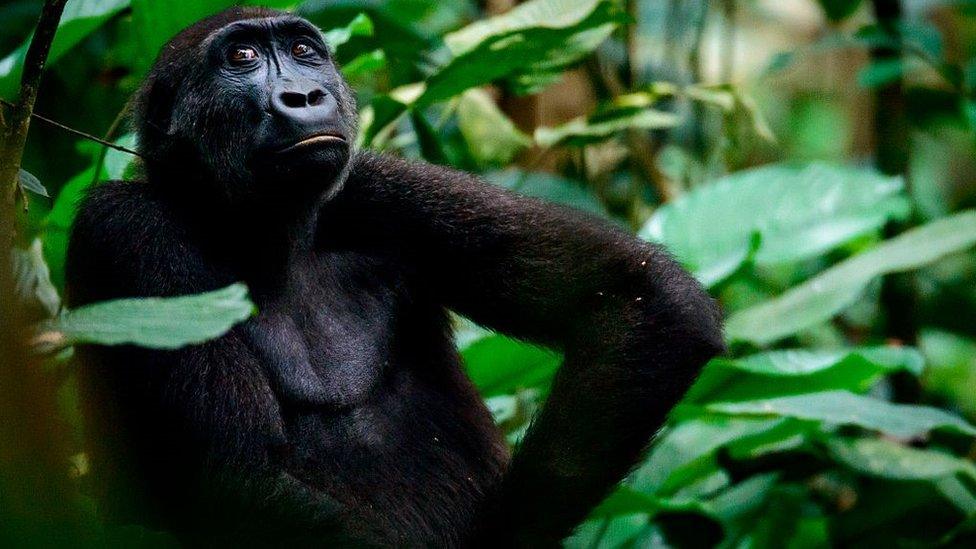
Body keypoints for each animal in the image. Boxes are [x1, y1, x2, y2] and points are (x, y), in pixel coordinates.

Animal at [65, 5, 724, 548]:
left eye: (304, 50)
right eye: (243, 58)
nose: (304, 95)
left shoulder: (380, 188)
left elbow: (637, 299)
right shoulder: (129, 230)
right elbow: (234, 482)